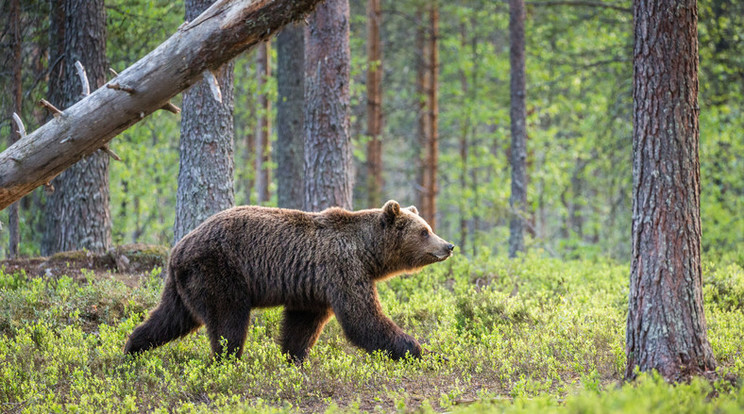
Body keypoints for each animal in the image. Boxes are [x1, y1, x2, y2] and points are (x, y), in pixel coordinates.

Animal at [125, 201, 454, 362]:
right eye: (424, 231)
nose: (448, 245)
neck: (368, 253)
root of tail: (178, 248)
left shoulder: (313, 286)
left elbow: (302, 324)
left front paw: (296, 358)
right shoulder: (343, 269)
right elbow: (363, 319)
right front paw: (424, 353)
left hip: (184, 283)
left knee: (169, 318)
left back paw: (132, 349)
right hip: (219, 270)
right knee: (228, 322)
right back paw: (227, 362)